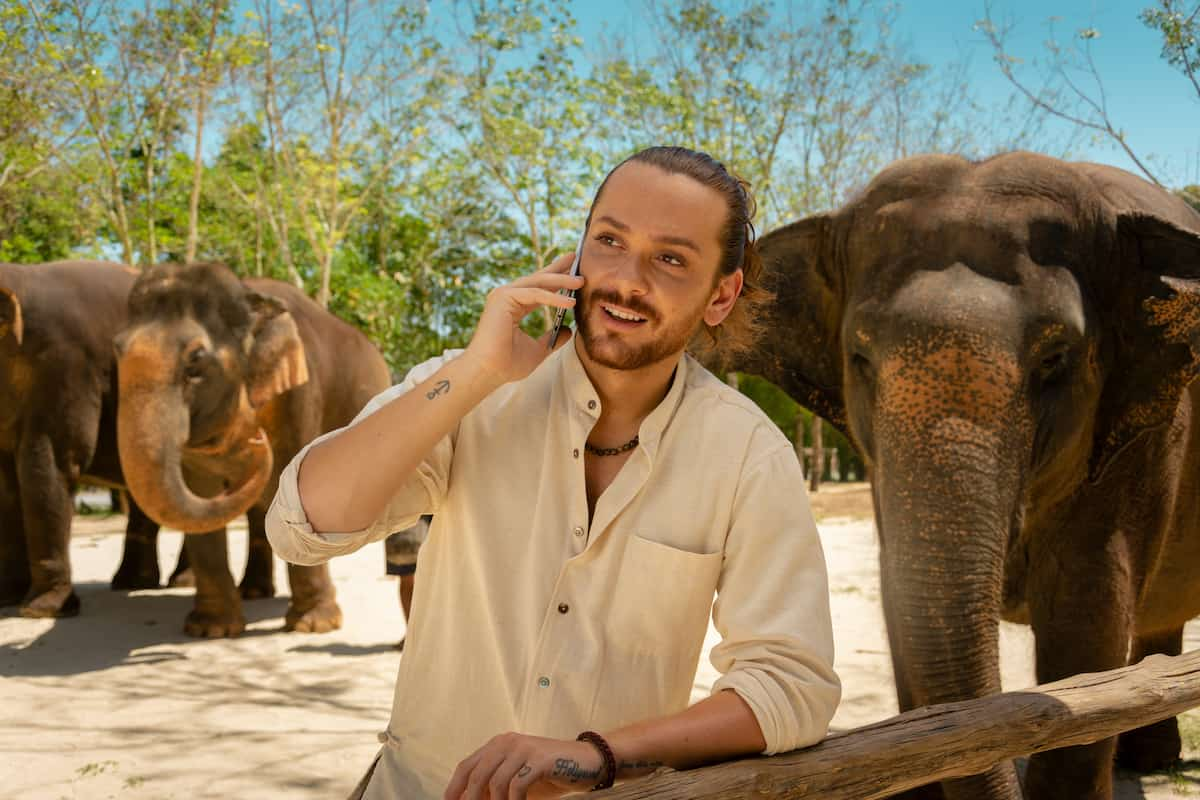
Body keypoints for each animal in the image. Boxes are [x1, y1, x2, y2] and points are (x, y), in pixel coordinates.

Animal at [115, 262, 391, 638]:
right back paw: (255, 592)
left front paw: (314, 626)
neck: (253, 299)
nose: (256, 439)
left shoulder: (300, 392)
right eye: (116, 350)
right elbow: (201, 489)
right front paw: (210, 630)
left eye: (196, 361)